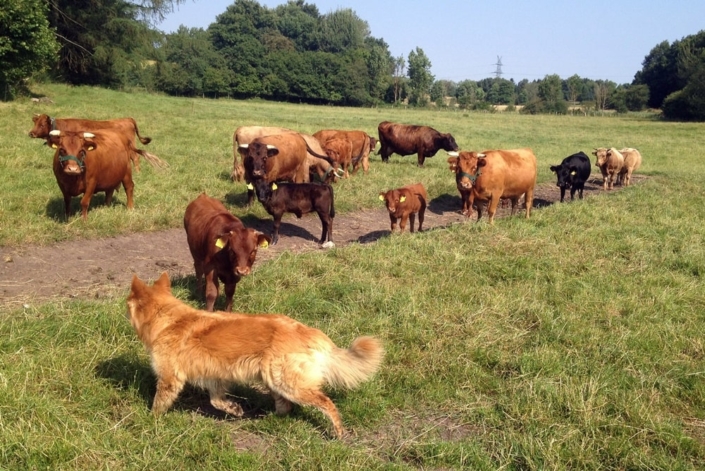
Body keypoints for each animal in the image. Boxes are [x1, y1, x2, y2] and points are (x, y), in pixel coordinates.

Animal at [124, 272, 382, 438]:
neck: (167, 318)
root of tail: (306, 331)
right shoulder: (216, 375)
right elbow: (216, 400)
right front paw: (233, 409)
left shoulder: (169, 379)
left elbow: (158, 403)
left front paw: (150, 420)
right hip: (272, 380)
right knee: (285, 406)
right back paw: (270, 420)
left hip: (287, 382)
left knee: (325, 403)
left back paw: (338, 431)